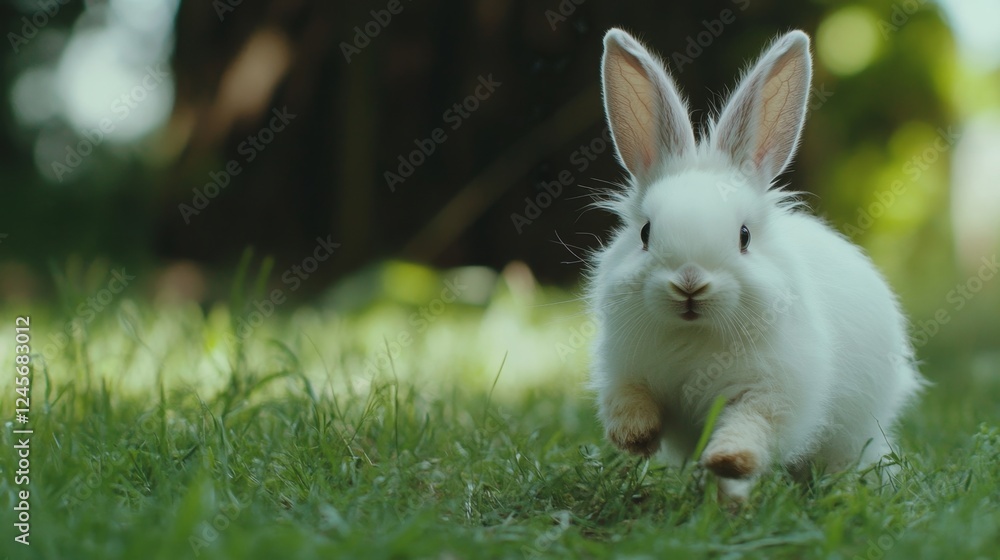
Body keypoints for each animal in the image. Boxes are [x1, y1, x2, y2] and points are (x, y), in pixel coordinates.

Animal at [587, 28, 924, 503]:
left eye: (744, 236)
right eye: (645, 234)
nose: (689, 283)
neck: (695, 336)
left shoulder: (772, 393)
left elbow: (751, 428)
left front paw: (731, 459)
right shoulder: (624, 370)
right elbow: (630, 401)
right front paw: (636, 437)